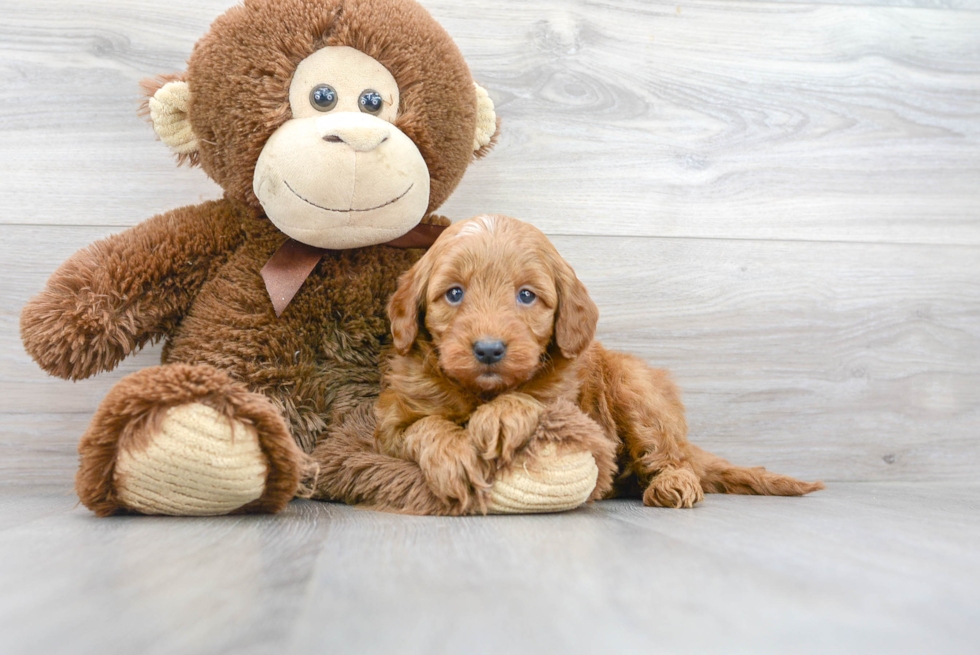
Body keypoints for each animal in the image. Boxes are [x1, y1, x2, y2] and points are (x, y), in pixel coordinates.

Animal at [372, 215, 824, 512]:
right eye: (453, 293)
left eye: (526, 295)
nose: (488, 350)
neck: (481, 392)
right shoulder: (391, 421)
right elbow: (424, 426)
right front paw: (455, 458)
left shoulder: (571, 400)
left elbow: (537, 398)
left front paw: (500, 417)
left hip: (633, 388)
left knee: (671, 455)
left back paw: (673, 483)